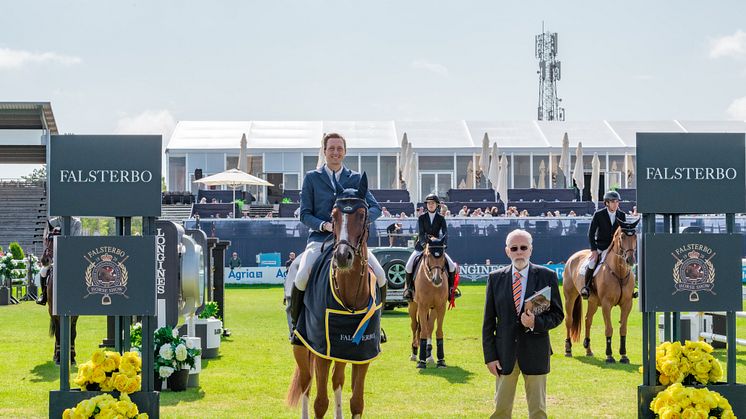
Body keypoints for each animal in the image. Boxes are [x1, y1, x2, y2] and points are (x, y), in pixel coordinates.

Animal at [42, 223, 78, 364]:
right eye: (47, 239)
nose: (44, 260)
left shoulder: (75, 314)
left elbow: (72, 333)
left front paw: (72, 357)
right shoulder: (54, 311)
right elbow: (58, 333)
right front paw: (58, 357)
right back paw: (56, 355)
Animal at [284, 174, 378, 419]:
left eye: (362, 214)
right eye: (333, 215)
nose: (343, 256)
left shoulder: (361, 353)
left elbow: (357, 402)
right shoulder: (321, 352)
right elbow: (320, 403)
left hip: (342, 352)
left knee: (337, 380)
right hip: (301, 345)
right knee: (306, 383)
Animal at [406, 238, 448, 370]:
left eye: (443, 255)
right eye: (428, 255)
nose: (437, 279)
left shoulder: (440, 306)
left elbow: (437, 331)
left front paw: (441, 360)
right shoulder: (422, 306)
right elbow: (422, 331)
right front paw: (421, 361)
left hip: (432, 308)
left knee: (429, 327)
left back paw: (429, 355)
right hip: (413, 306)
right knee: (414, 326)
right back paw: (414, 353)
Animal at [560, 220, 636, 364]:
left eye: (634, 237)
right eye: (622, 237)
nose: (630, 260)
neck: (619, 272)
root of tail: (572, 257)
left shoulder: (627, 304)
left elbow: (623, 329)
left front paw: (624, 356)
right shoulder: (606, 304)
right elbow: (609, 328)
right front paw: (609, 356)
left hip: (593, 302)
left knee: (587, 320)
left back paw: (588, 350)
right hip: (569, 298)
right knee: (569, 320)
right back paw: (568, 349)